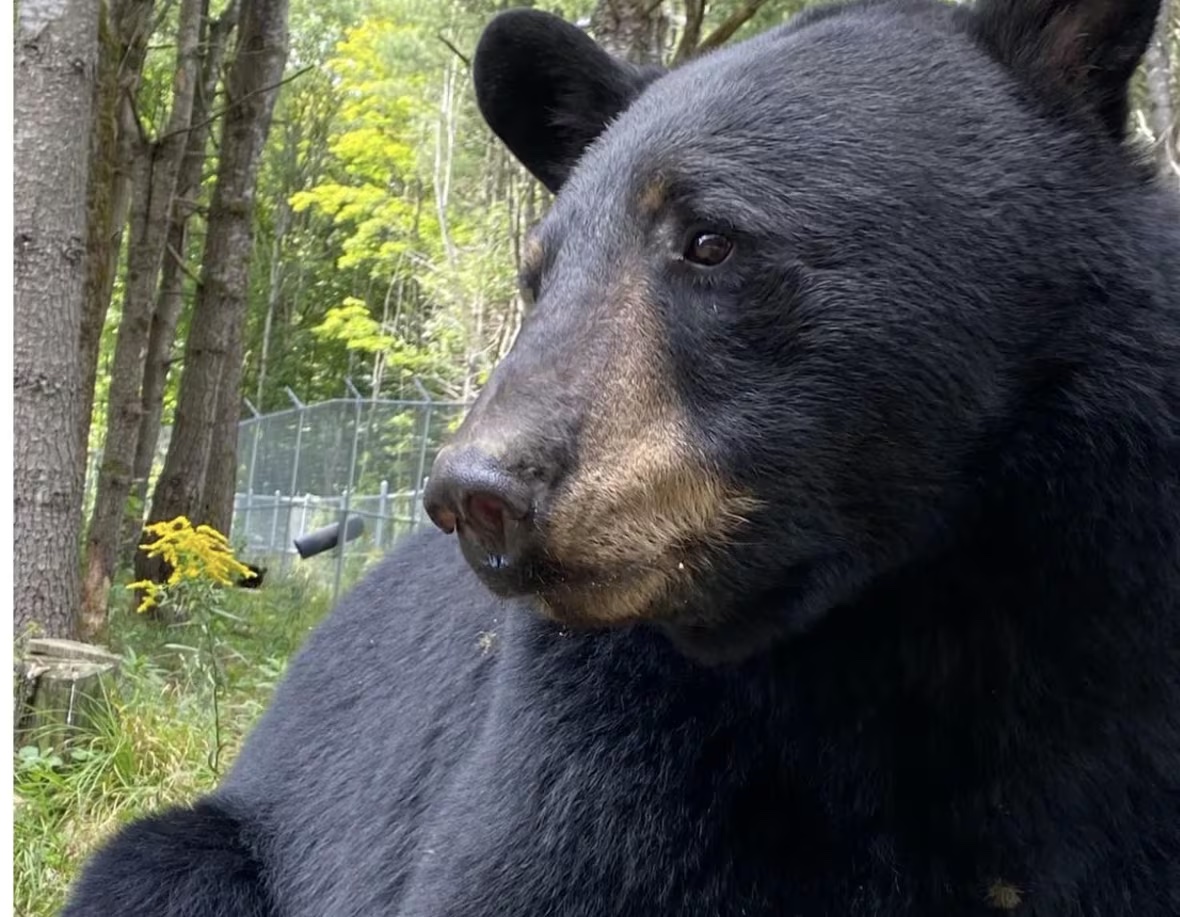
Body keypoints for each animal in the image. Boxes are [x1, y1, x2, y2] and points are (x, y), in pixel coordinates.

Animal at [62, 0, 1180, 911]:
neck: (902, 616)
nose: (476, 493)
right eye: (539, 273)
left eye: (710, 239)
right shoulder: (606, 741)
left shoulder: (1117, 693)